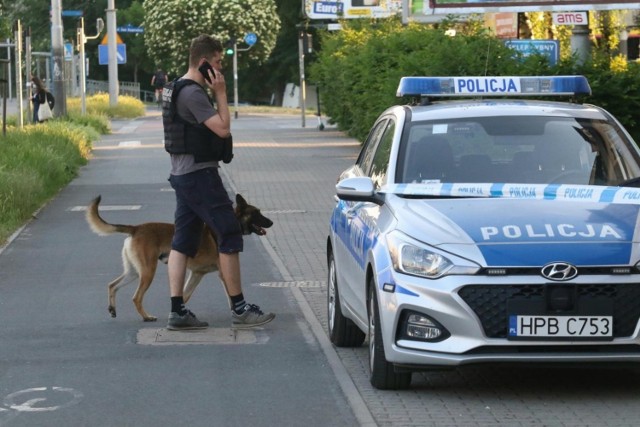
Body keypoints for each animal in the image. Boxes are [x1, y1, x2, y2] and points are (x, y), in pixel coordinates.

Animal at [85, 194, 272, 320]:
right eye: (257, 213)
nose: (271, 222)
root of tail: (136, 228)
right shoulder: (222, 273)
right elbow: (231, 296)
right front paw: (240, 313)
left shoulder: (197, 274)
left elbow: (184, 294)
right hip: (147, 272)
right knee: (136, 297)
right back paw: (146, 317)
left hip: (134, 272)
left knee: (112, 285)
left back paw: (112, 309)